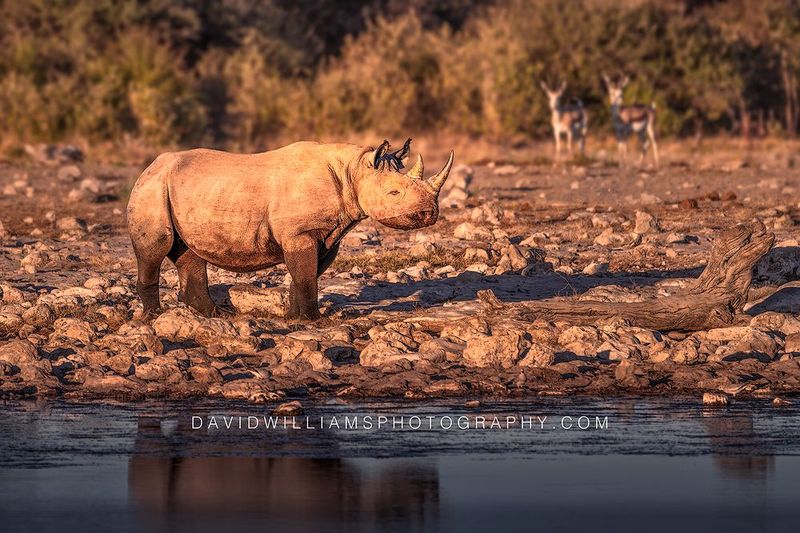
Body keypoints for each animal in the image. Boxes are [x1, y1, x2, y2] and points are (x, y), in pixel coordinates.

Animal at [127, 139, 453, 319]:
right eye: (394, 193)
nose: (429, 214)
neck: (355, 170)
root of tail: (148, 167)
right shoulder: (301, 232)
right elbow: (306, 275)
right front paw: (316, 320)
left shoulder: (326, 234)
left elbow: (305, 275)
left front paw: (295, 317)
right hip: (152, 188)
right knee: (156, 248)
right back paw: (154, 316)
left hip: (183, 189)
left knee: (189, 252)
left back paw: (217, 315)